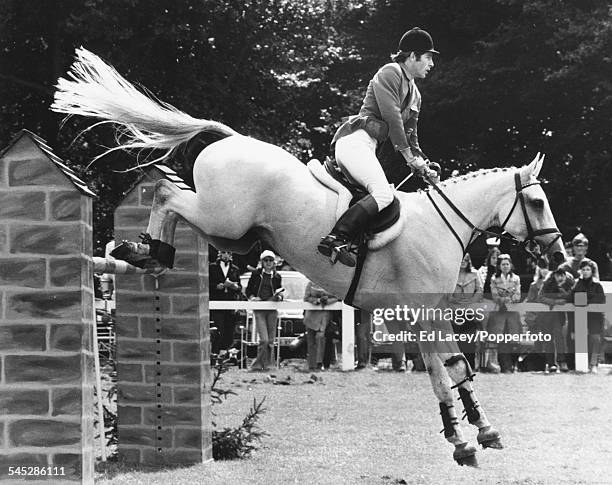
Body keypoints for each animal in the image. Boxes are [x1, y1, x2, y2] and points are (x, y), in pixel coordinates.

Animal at [51, 48, 564, 466]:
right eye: (537, 202)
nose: (558, 253)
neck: (444, 223)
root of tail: (230, 137)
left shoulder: (433, 313)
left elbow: (458, 367)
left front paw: (483, 431)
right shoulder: (418, 314)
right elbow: (441, 372)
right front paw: (460, 440)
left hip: (235, 235)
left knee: (173, 203)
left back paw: (151, 253)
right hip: (225, 219)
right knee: (163, 192)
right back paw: (144, 250)